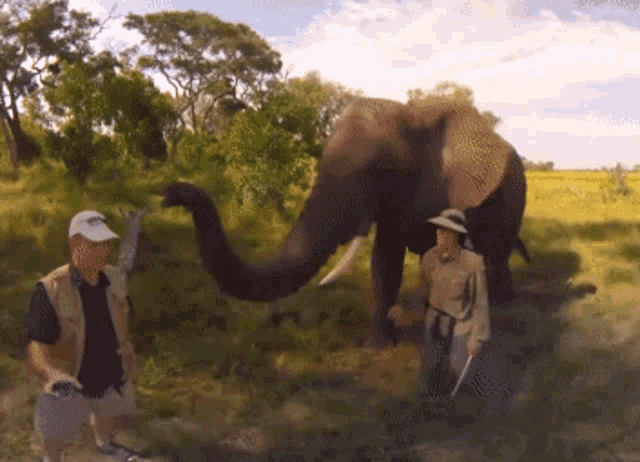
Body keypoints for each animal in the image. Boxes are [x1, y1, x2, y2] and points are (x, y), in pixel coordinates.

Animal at [161, 96, 529, 348]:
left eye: (381, 171)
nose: (170, 193)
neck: (413, 114)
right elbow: (385, 264)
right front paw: (377, 345)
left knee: (494, 252)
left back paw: (503, 305)